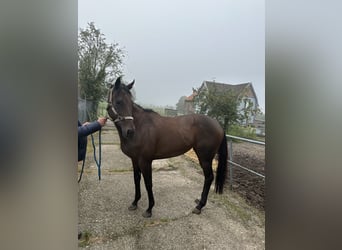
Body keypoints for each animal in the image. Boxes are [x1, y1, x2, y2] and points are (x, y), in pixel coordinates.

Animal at [107, 75, 227, 217]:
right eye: (118, 101)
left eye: (130, 103)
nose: (130, 131)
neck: (141, 126)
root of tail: (218, 124)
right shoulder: (134, 159)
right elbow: (136, 179)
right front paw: (135, 203)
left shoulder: (145, 161)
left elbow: (148, 183)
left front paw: (149, 209)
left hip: (205, 158)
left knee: (209, 177)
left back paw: (199, 206)